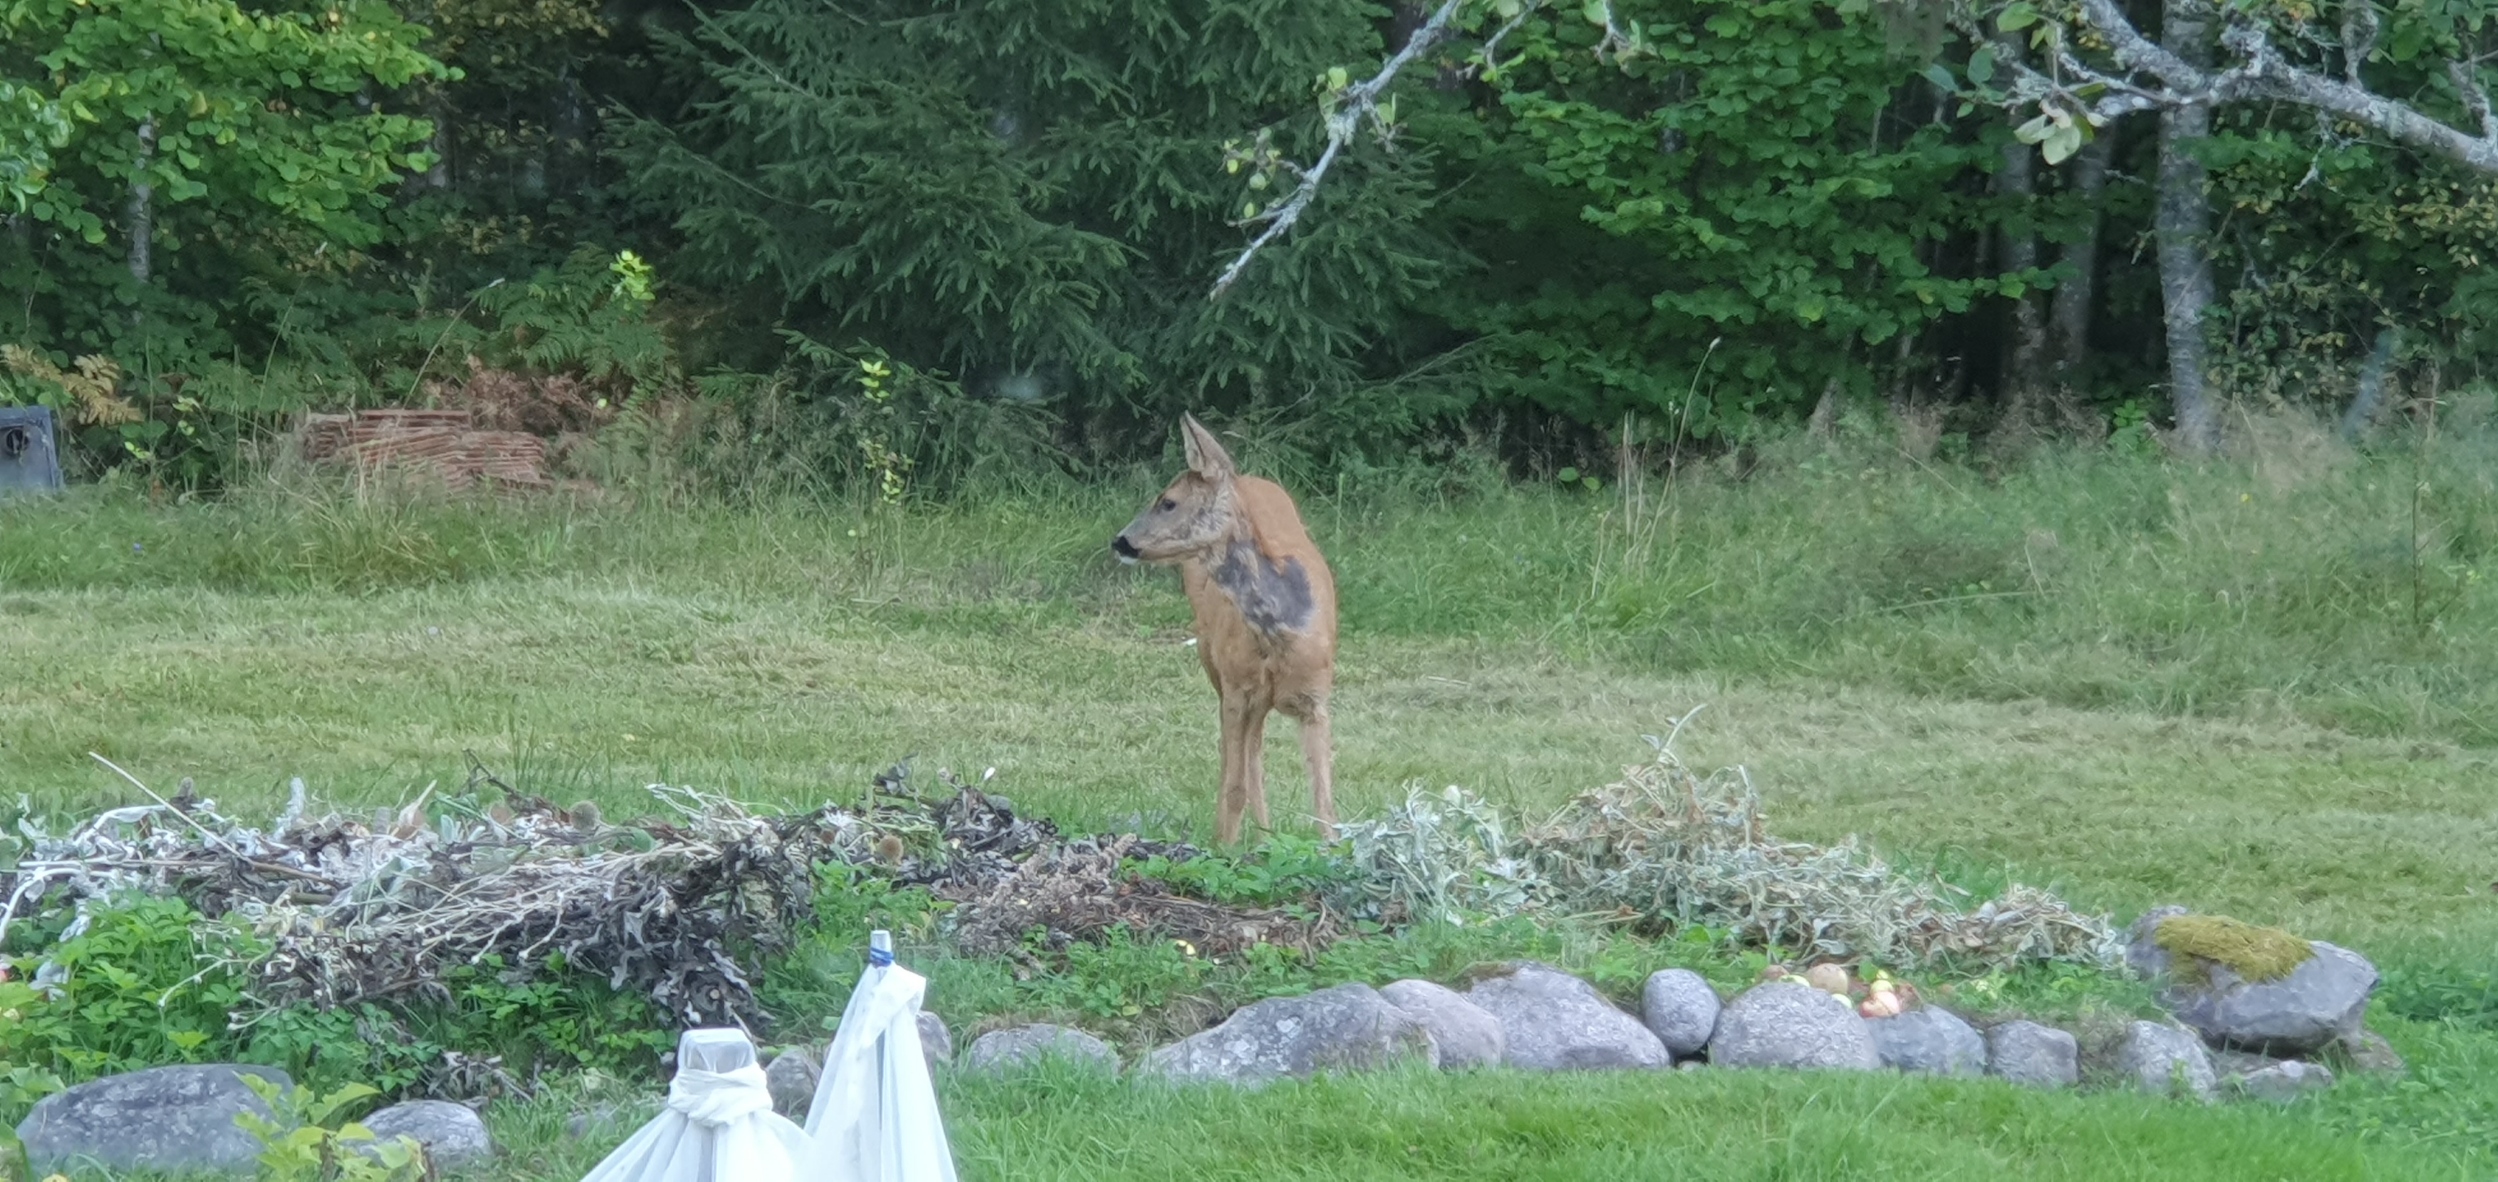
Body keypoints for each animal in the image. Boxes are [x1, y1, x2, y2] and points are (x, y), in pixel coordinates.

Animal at [1112, 414, 1336, 846]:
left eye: (1168, 501)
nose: (1121, 541)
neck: (1280, 635)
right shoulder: (1237, 687)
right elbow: (1235, 786)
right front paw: (1222, 849)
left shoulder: (1316, 697)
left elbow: (1324, 803)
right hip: (1211, 658)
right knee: (1236, 755)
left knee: (1254, 751)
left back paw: (1265, 837)